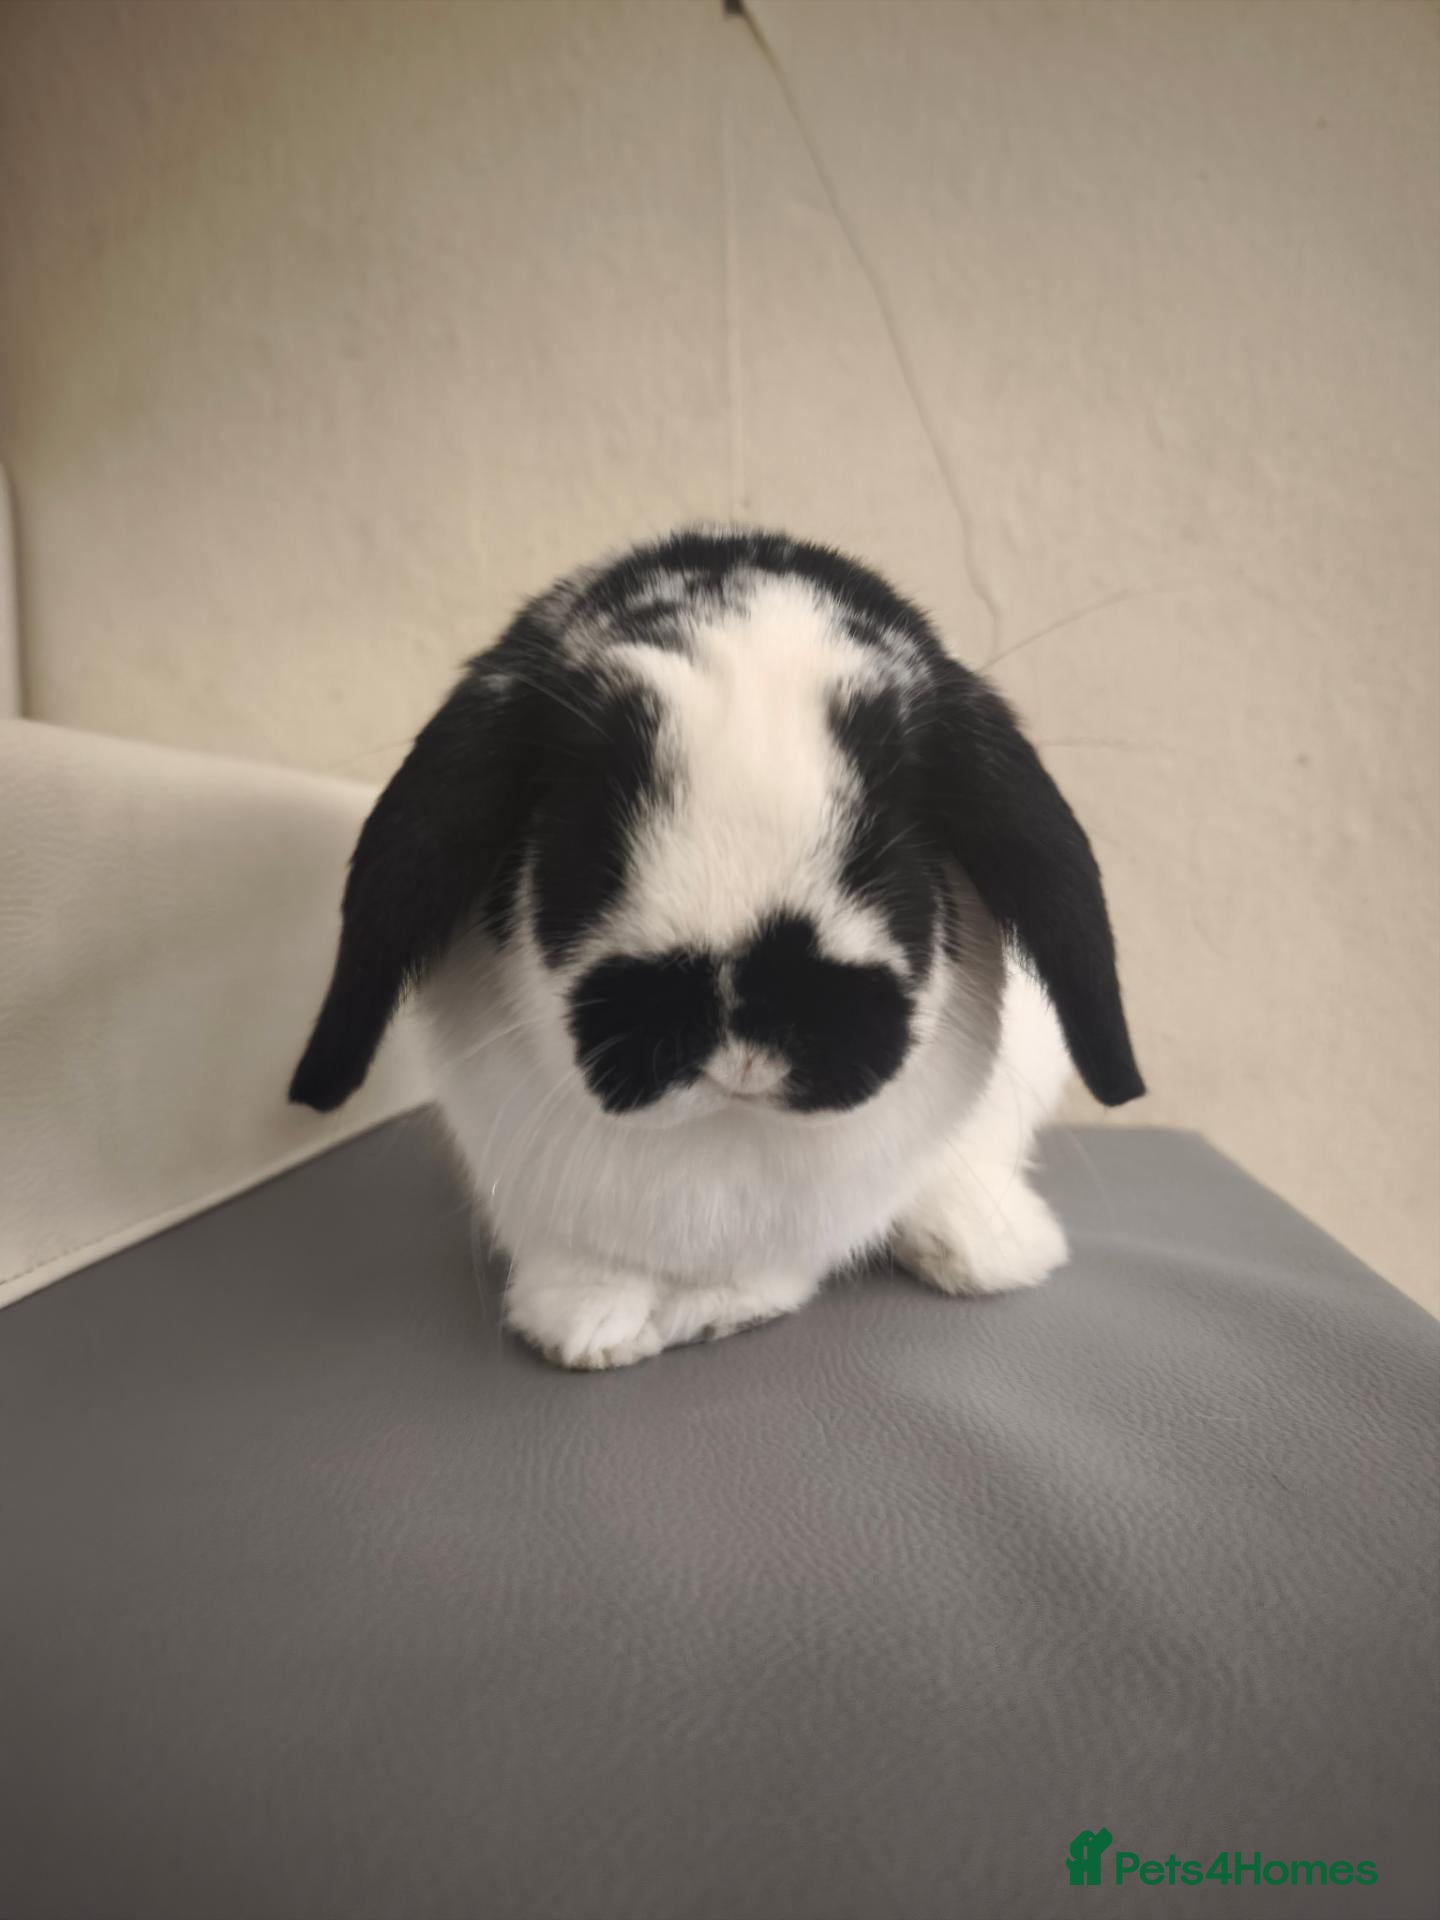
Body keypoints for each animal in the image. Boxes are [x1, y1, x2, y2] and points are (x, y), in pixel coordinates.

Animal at [291, 529, 1143, 1369]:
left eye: (891, 836)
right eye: (587, 823)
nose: (743, 1013)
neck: (729, 1132)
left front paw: (715, 1311)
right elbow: (594, 1267)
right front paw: (589, 1329)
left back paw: (984, 1249)